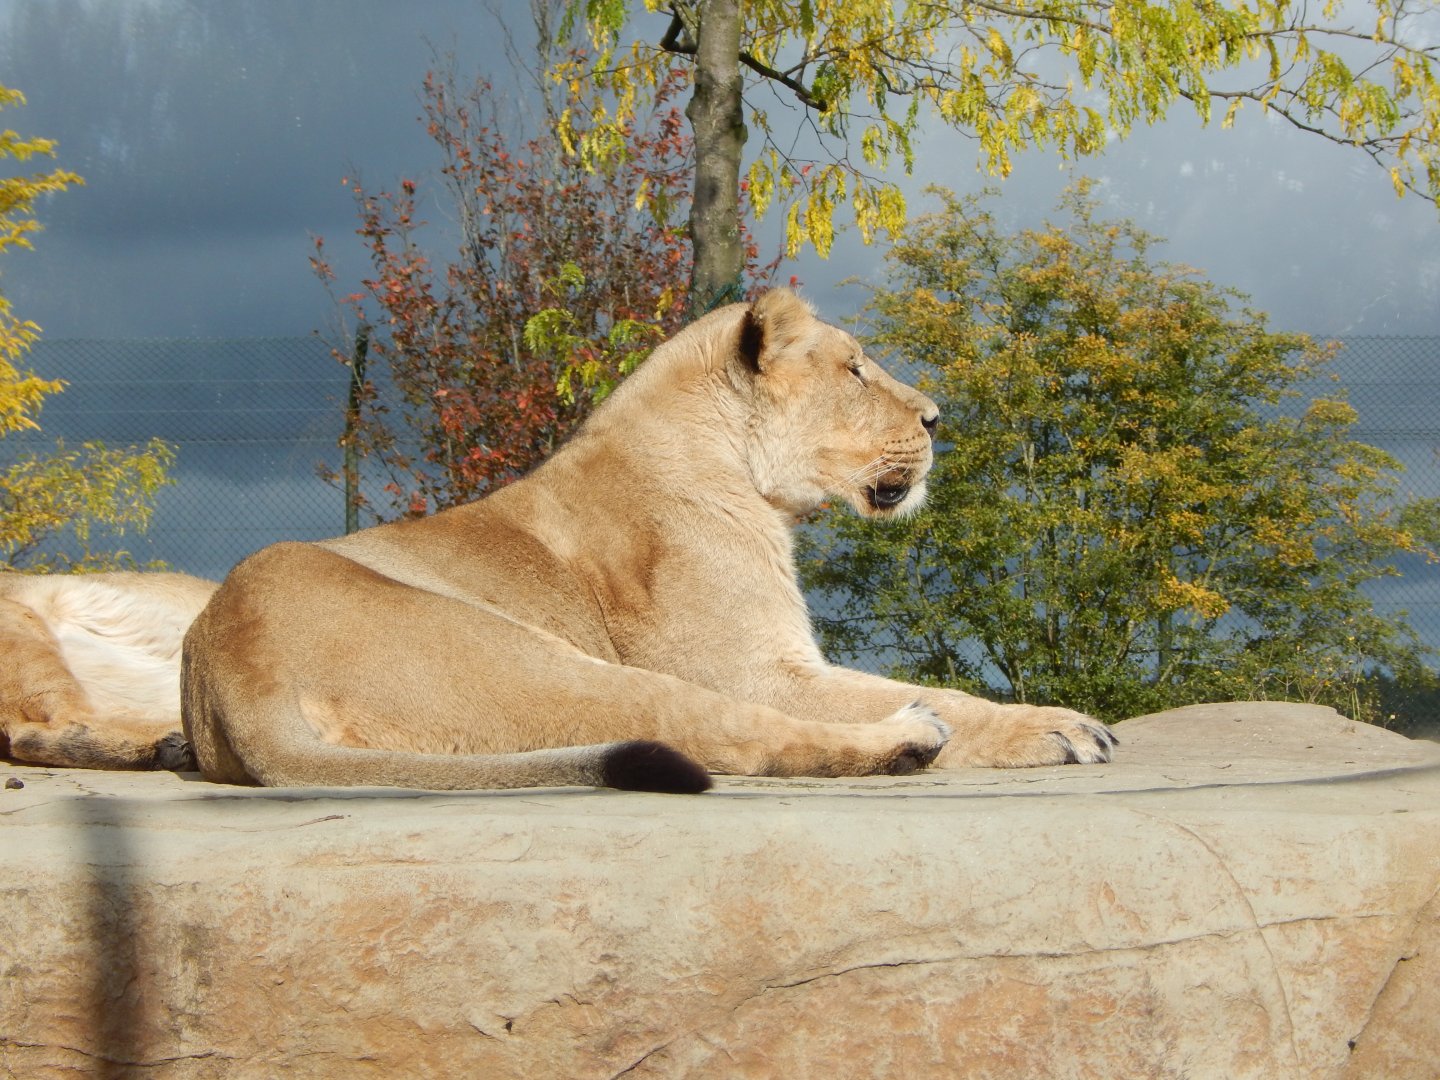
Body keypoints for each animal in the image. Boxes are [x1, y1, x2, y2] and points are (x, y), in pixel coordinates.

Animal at [181, 289, 1115, 793]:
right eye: (855, 369)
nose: (935, 418)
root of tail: (233, 665)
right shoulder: (756, 667)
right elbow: (937, 693)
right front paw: (1056, 726)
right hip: (534, 659)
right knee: (720, 732)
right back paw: (909, 739)